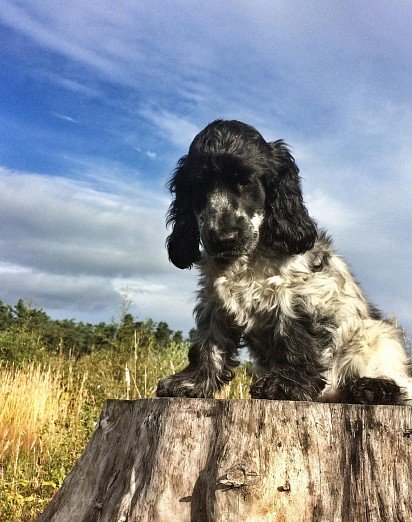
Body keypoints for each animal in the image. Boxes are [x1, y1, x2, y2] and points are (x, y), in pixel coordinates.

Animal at [156, 118, 410, 402]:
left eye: (246, 182)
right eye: (198, 187)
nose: (224, 238)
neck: (248, 258)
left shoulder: (299, 295)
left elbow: (295, 340)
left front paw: (283, 384)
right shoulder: (214, 302)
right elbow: (208, 344)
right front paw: (192, 382)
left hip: (376, 335)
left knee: (401, 385)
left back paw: (372, 389)